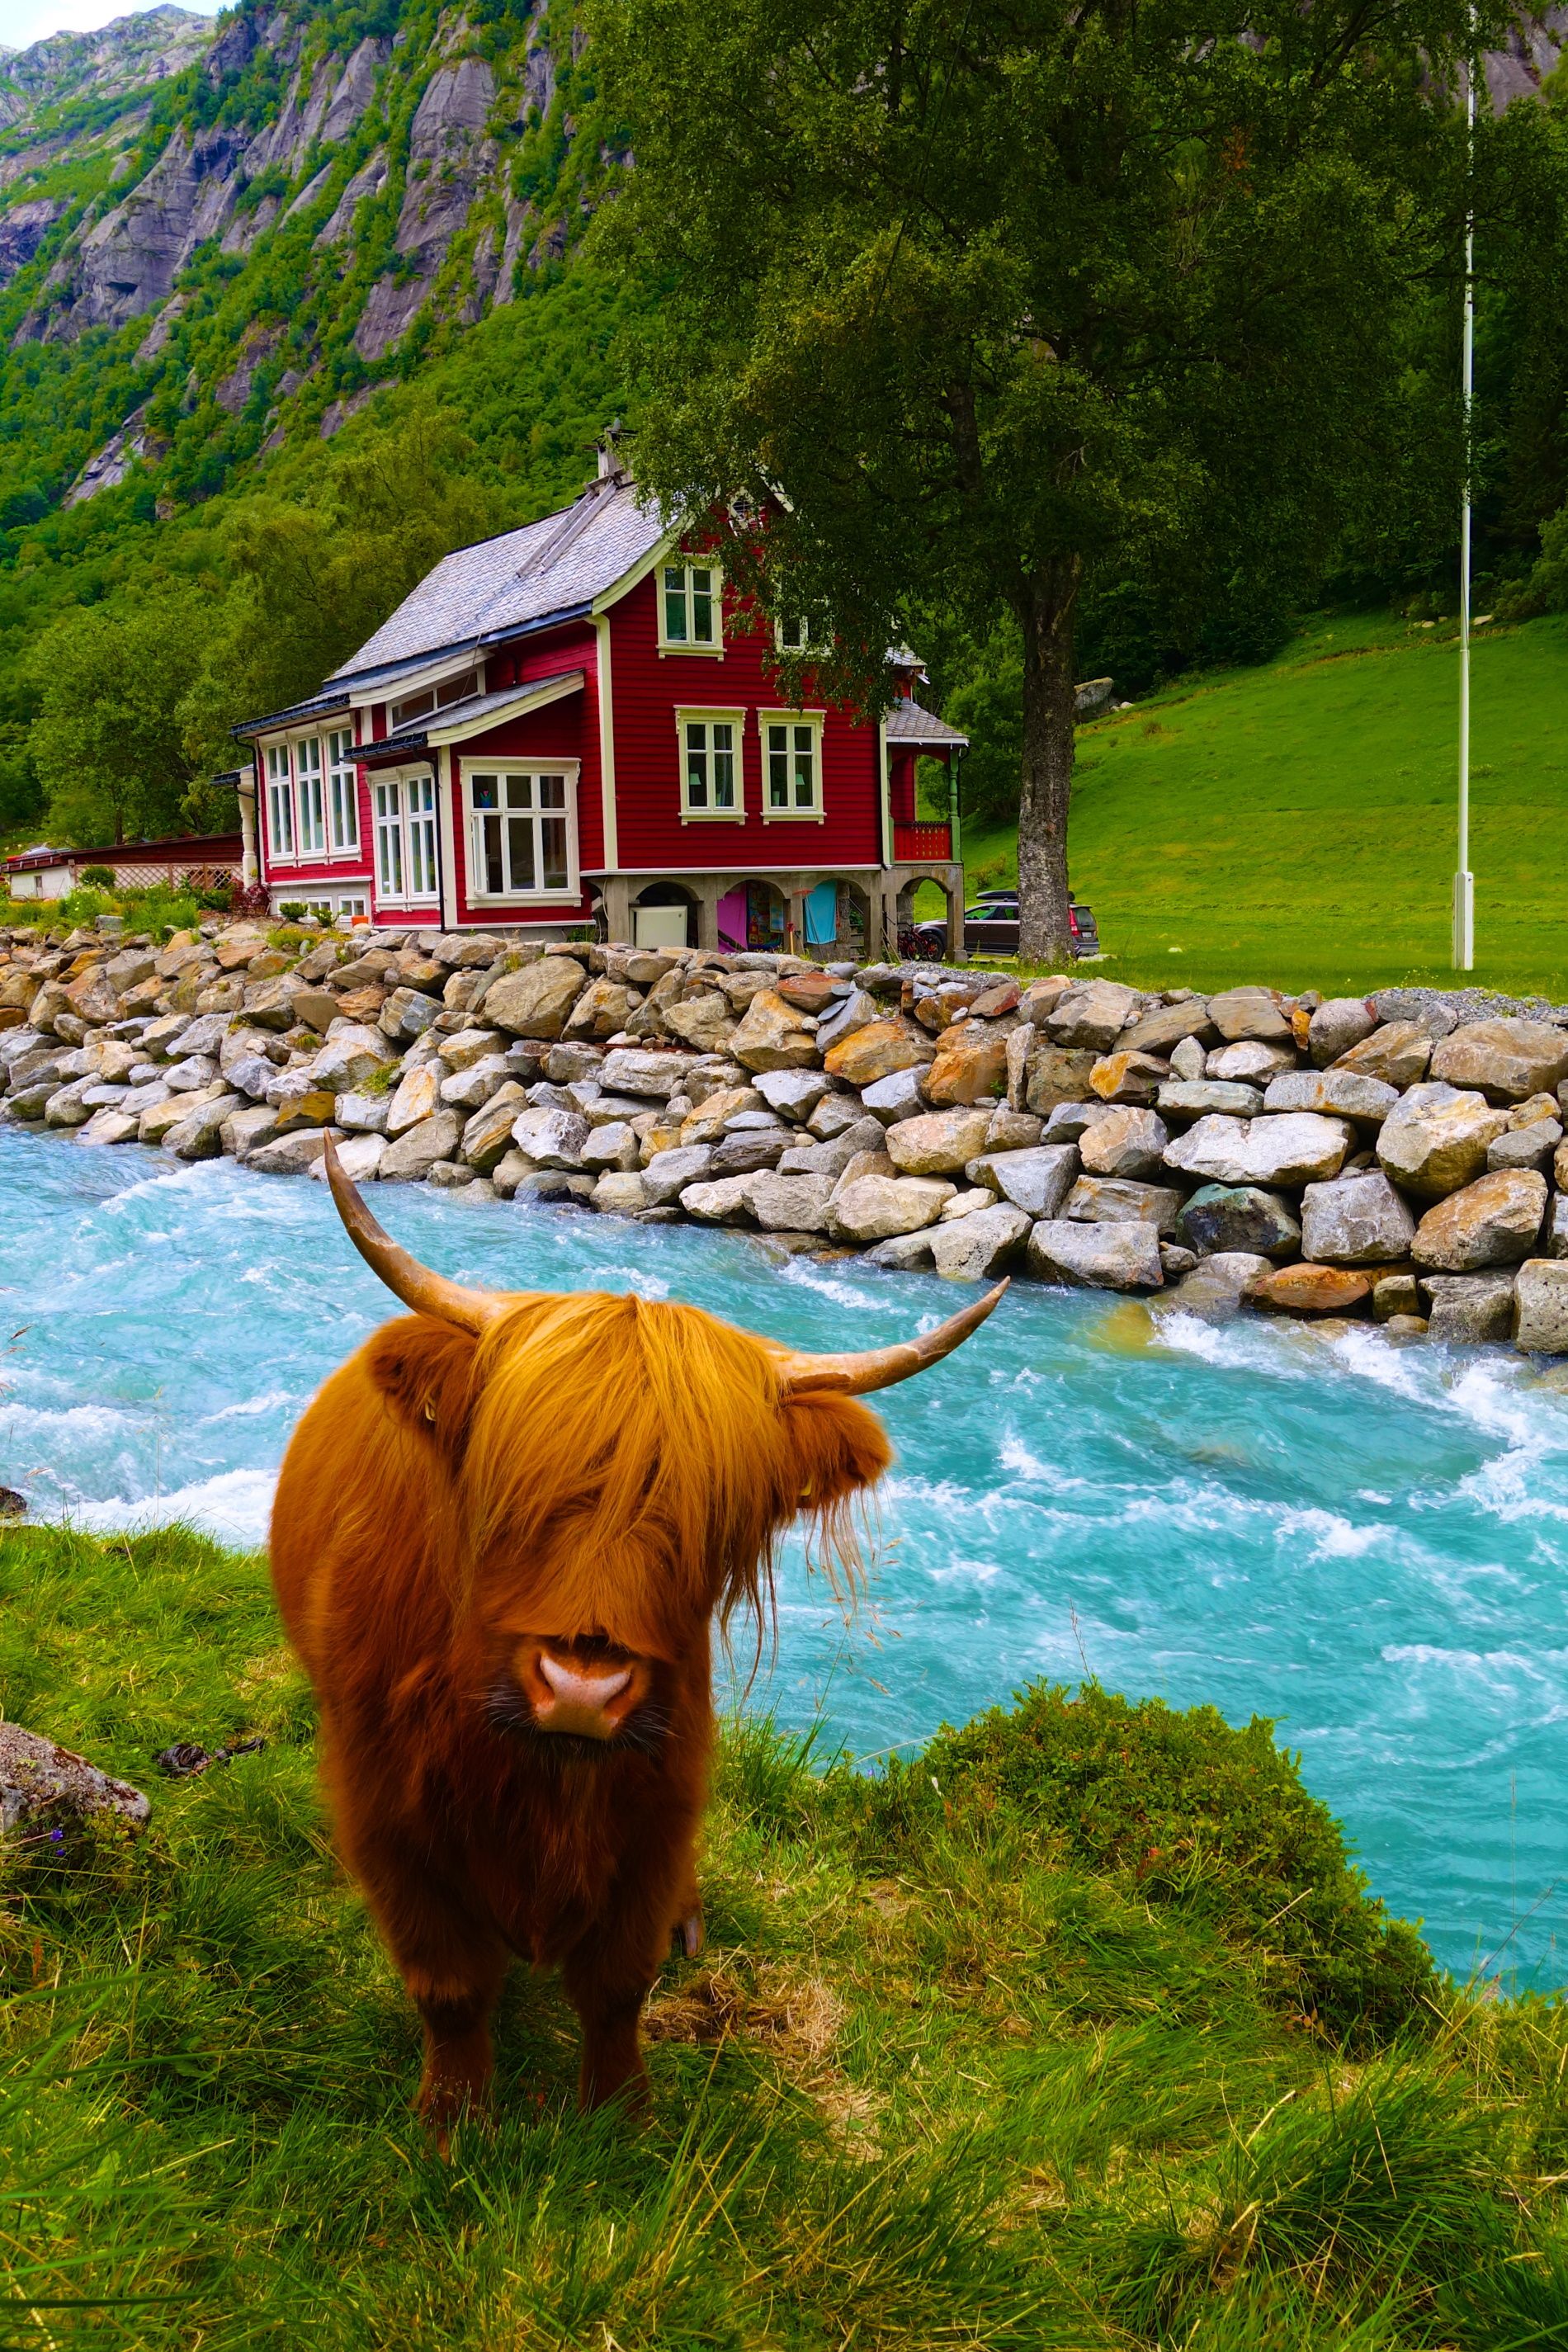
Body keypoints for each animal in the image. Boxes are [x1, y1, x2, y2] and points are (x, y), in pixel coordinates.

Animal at [270, 1138, 1005, 2135]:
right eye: (512, 1486)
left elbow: (620, 1984)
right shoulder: (385, 1809)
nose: (582, 1691)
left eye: (713, 1518)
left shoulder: (663, 1793)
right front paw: (453, 2124)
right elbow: (450, 1988)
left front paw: (622, 2119)